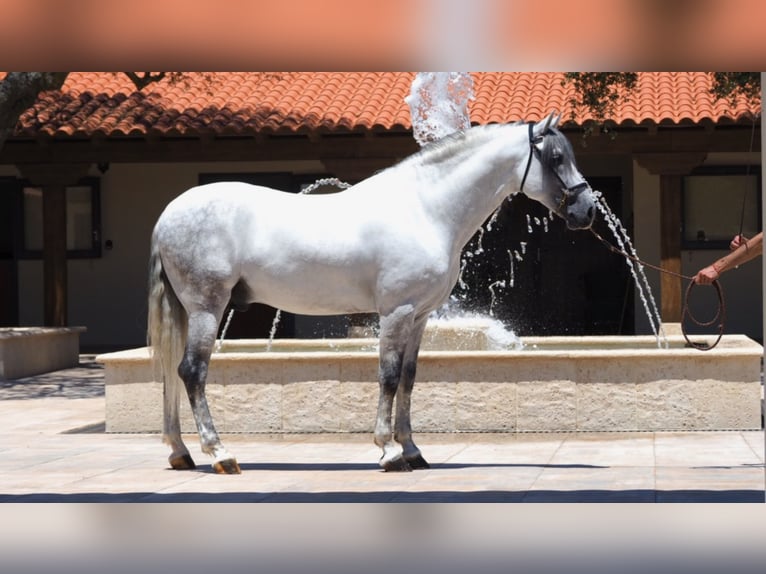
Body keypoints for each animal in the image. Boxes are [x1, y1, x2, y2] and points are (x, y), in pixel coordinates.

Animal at [147, 111, 596, 472]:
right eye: (556, 158)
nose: (587, 210)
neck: (424, 209)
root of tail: (169, 213)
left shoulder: (419, 316)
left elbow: (409, 378)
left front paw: (412, 449)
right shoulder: (396, 312)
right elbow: (388, 376)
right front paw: (389, 452)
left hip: (187, 311)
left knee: (171, 370)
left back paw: (180, 453)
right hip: (207, 308)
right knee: (192, 372)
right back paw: (220, 454)